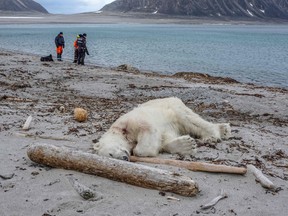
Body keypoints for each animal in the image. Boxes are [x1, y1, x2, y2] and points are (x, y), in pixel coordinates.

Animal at [93, 97, 231, 160]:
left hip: (173, 106)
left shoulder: (131, 121)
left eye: (110, 153)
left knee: (189, 119)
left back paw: (214, 135)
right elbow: (165, 139)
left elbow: (147, 133)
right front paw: (187, 145)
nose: (124, 158)